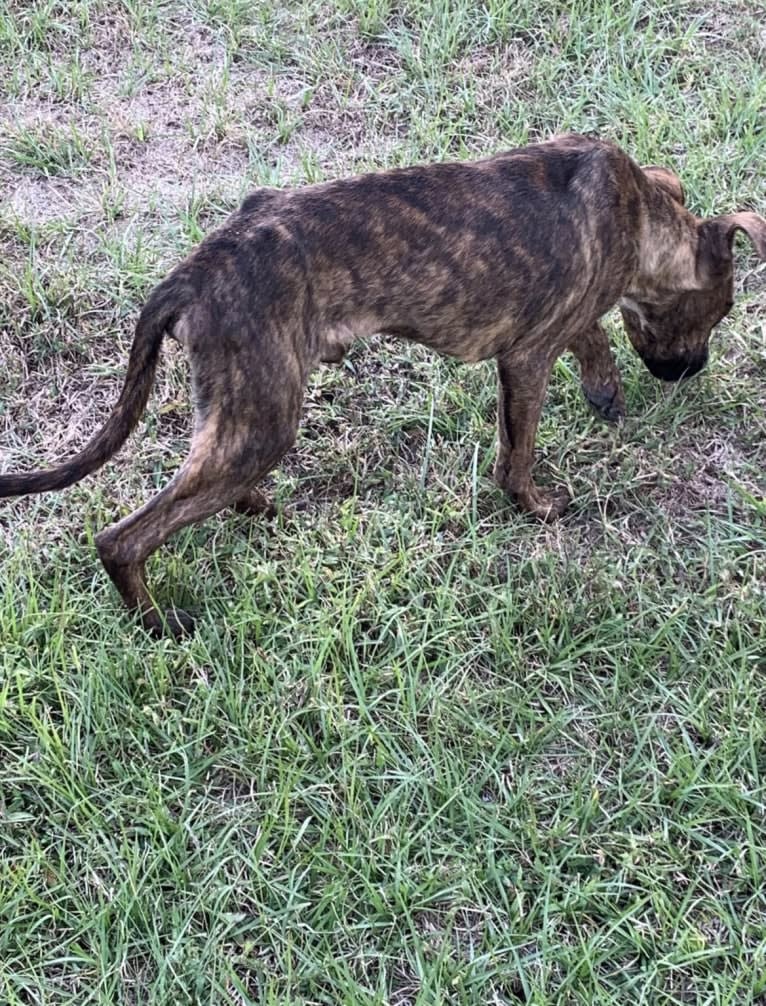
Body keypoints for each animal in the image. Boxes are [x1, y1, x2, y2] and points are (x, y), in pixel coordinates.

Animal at [1, 135, 764, 635]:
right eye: (724, 308)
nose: (692, 371)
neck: (639, 211)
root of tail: (197, 269)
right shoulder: (526, 356)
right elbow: (519, 450)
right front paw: (535, 505)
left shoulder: (557, 329)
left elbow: (592, 335)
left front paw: (604, 387)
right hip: (265, 418)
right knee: (124, 539)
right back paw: (160, 624)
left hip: (240, 406)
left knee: (203, 474)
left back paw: (252, 507)